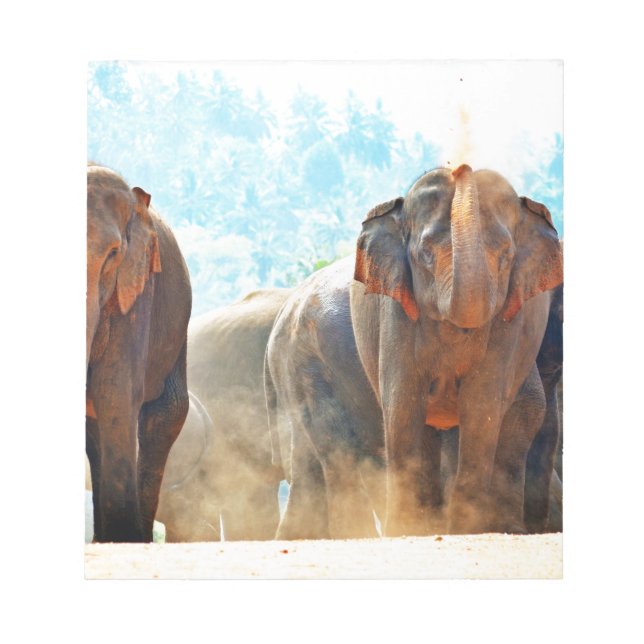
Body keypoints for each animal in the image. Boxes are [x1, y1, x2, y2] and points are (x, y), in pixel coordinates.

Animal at [86, 164, 191, 542]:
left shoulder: (137, 287)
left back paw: (133, 538)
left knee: (165, 415)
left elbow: (114, 390)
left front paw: (124, 537)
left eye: (114, 253)